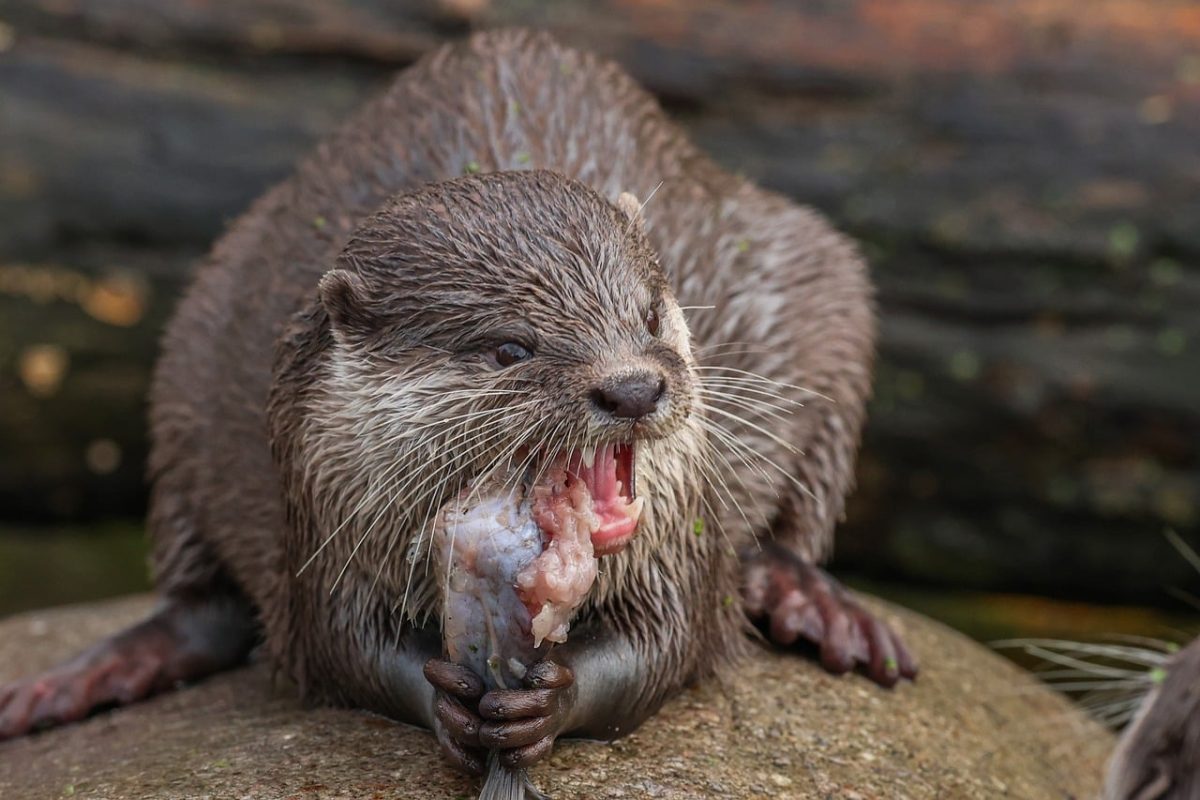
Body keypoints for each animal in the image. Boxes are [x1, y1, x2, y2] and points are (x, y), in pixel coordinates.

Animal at [0, 29, 915, 777]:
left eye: (651, 314)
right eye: (510, 348)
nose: (633, 386)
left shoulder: (681, 539)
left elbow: (671, 646)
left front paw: (551, 699)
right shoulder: (317, 501)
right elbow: (337, 648)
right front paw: (444, 698)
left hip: (826, 281)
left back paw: (817, 605)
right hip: (186, 358)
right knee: (200, 598)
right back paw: (88, 677)